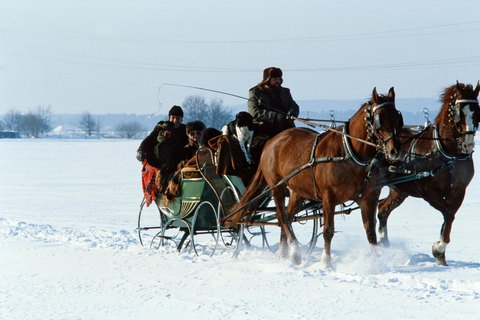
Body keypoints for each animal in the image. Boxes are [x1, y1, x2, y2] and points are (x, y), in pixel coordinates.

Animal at [227, 87, 404, 264]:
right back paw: (295, 251)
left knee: (288, 216)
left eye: (397, 118)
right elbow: (328, 230)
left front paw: (376, 262)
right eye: (380, 118)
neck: (348, 152)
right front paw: (326, 262)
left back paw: (284, 253)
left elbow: (370, 232)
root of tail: (270, 142)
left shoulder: (368, 198)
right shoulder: (328, 197)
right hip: (277, 187)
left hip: (297, 191)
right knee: (282, 216)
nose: (395, 151)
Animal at [378, 81, 480, 266]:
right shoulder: (429, 193)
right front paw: (437, 249)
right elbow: (448, 214)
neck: (447, 152)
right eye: (459, 112)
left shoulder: (459, 191)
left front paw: (441, 253)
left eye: (476, 110)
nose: (468, 144)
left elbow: (449, 217)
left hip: (399, 190)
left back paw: (384, 244)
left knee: (382, 209)